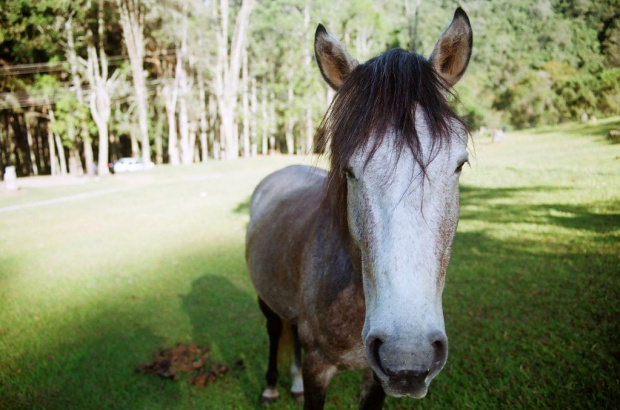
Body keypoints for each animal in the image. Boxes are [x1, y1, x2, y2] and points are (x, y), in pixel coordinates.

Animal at [245, 8, 472, 408]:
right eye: (349, 170)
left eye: (459, 164)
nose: (407, 356)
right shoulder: (319, 368)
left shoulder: (375, 379)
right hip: (266, 299)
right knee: (275, 331)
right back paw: (271, 386)